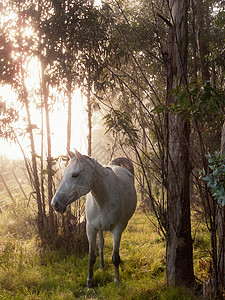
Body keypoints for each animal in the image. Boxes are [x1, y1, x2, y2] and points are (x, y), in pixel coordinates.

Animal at [51, 149, 137, 288]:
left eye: (75, 175)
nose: (55, 204)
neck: (103, 199)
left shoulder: (117, 229)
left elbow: (115, 257)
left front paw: (117, 280)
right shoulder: (91, 228)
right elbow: (91, 256)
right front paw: (89, 282)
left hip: (122, 225)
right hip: (99, 228)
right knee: (101, 244)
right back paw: (101, 266)